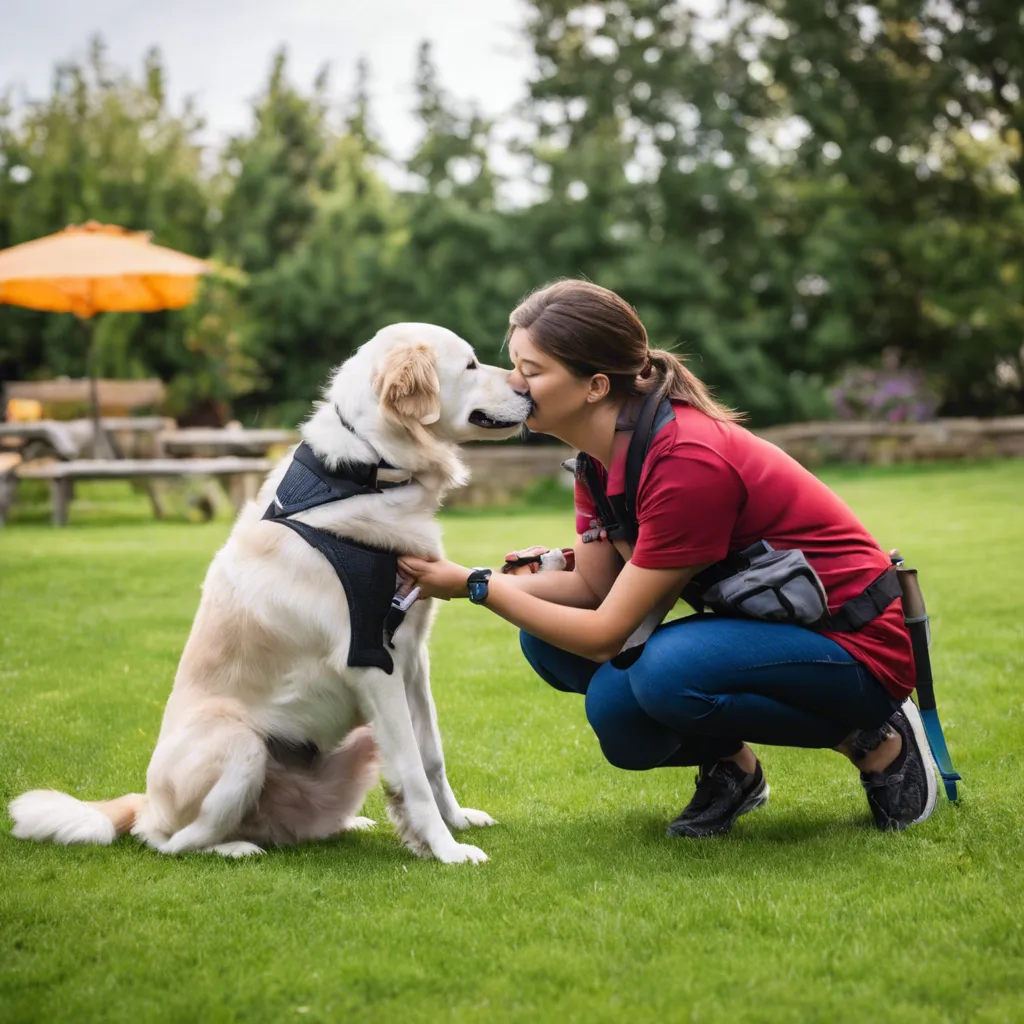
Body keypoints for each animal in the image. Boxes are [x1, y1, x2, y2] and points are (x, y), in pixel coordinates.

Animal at [8, 321, 532, 864]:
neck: (368, 470)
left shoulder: (411, 657)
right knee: (172, 841)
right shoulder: (371, 660)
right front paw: (448, 850)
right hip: (241, 744)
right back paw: (236, 847)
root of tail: (148, 803)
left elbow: (431, 755)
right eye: (470, 364)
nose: (528, 390)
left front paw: (456, 822)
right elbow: (412, 770)